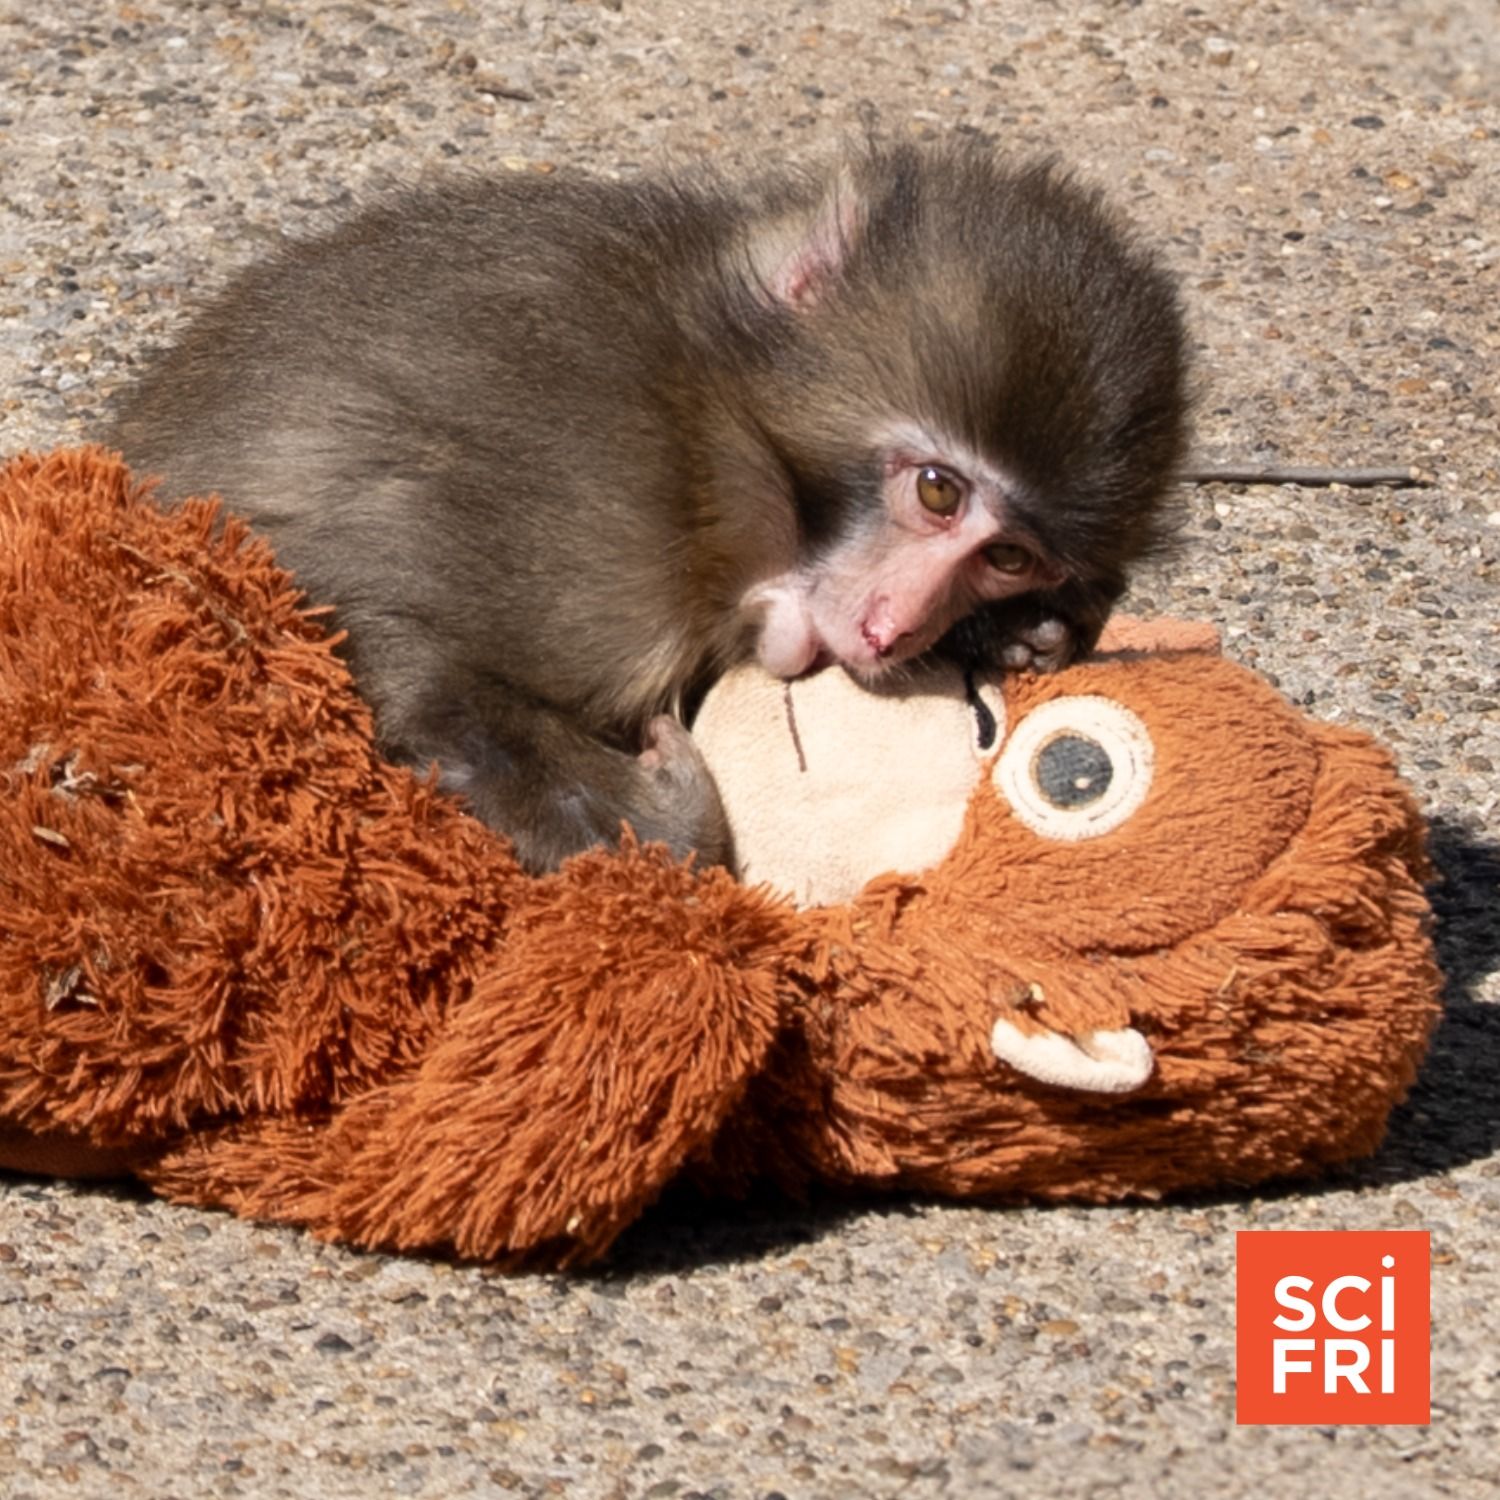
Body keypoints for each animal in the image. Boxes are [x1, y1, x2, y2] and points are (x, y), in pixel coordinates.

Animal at [107, 138, 1188, 874]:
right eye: (937, 490)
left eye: (1009, 558)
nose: (897, 627)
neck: (714, 425)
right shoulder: (598, 510)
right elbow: (368, 632)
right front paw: (668, 817)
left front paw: (1021, 633)